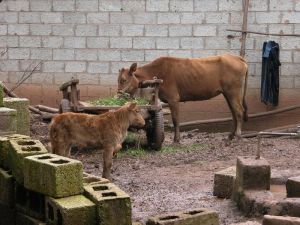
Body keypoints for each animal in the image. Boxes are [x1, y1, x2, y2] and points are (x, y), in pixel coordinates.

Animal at [118, 54, 248, 142]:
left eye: (123, 80)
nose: (118, 94)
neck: (157, 72)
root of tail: (237, 57)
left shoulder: (173, 99)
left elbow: (176, 120)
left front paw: (176, 139)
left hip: (233, 91)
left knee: (239, 111)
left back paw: (238, 135)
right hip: (227, 93)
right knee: (233, 112)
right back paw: (230, 135)